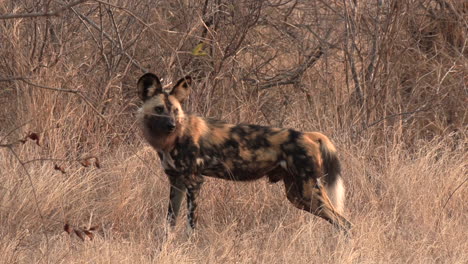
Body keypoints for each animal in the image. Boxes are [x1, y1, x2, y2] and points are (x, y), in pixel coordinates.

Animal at [137, 72, 352, 233]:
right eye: (159, 109)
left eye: (175, 110)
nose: (171, 125)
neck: (172, 140)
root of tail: (309, 135)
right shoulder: (177, 182)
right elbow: (169, 224)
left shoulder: (194, 182)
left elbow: (191, 225)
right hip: (297, 196)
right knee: (341, 223)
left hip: (309, 193)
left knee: (345, 223)